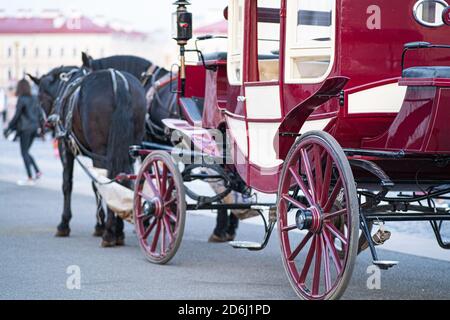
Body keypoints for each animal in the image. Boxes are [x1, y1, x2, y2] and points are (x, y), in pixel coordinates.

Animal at [28, 66, 148, 246]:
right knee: (123, 179)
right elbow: (95, 185)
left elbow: (68, 184)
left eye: (39, 97)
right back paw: (118, 231)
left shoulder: (66, 149)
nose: (44, 124)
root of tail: (118, 79)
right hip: (128, 149)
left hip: (101, 152)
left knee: (110, 180)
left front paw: (65, 224)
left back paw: (110, 233)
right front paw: (100, 224)